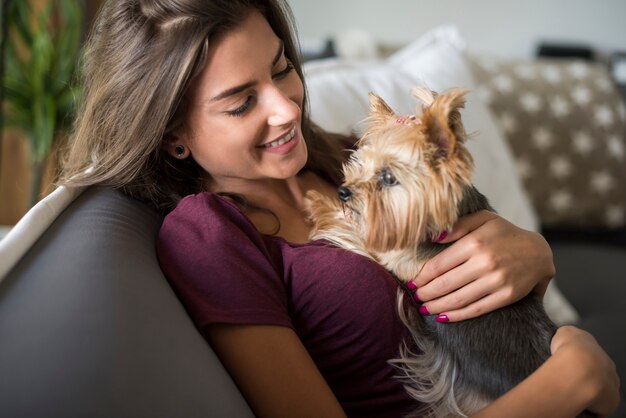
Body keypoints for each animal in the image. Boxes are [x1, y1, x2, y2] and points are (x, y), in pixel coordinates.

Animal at [304, 86, 588, 416]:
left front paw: (317, 202)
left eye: (388, 178)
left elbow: (354, 231)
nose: (343, 191)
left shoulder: (393, 248)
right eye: (359, 164)